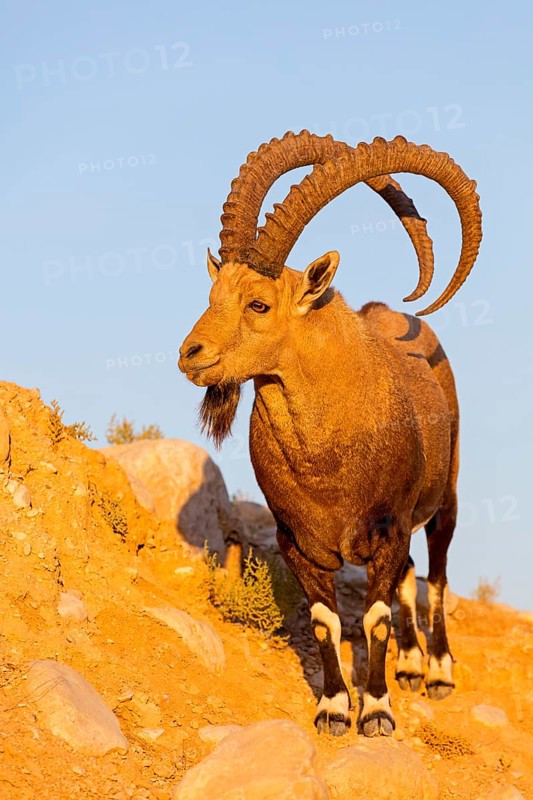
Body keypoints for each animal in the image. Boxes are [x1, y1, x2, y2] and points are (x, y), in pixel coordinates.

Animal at [178, 131, 482, 737]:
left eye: (258, 303)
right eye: (213, 293)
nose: (190, 354)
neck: (328, 463)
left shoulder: (388, 529)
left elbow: (375, 618)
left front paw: (378, 711)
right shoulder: (297, 542)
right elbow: (325, 622)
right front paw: (335, 708)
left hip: (445, 498)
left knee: (435, 574)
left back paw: (436, 671)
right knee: (411, 575)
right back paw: (410, 665)